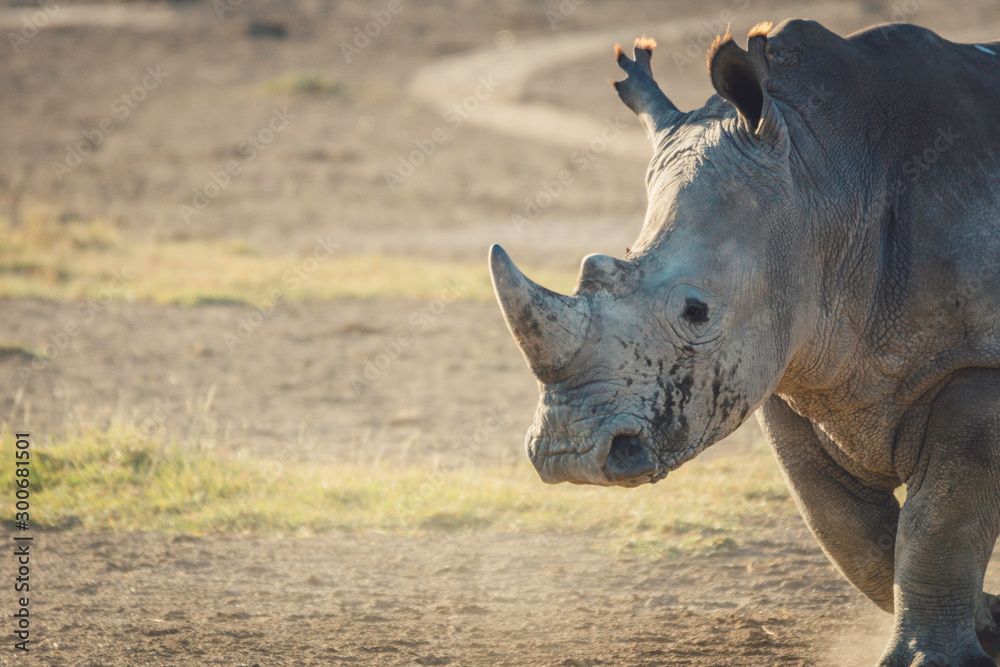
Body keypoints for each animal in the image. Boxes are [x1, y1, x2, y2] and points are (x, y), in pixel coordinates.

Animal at [489, 18, 1000, 666]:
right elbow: (850, 528)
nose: (569, 455)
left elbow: (939, 521)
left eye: (696, 312)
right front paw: (990, 624)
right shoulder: (800, 364)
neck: (829, 179)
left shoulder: (977, 361)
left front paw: (933, 659)